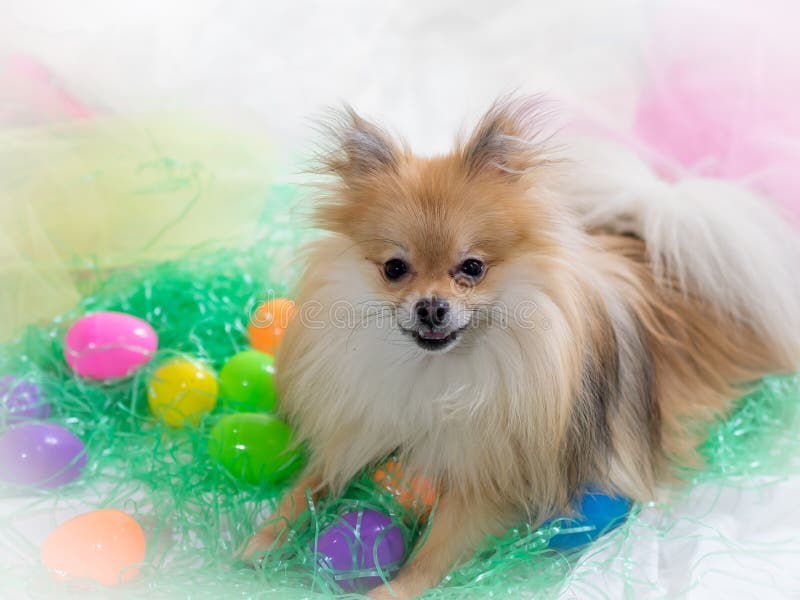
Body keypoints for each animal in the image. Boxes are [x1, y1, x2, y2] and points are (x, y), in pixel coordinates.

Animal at [244, 96, 800, 596]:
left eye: (472, 268)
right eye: (394, 269)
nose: (430, 307)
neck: (436, 374)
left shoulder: (493, 478)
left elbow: (435, 549)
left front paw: (390, 590)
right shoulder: (362, 426)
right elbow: (307, 486)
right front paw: (260, 541)